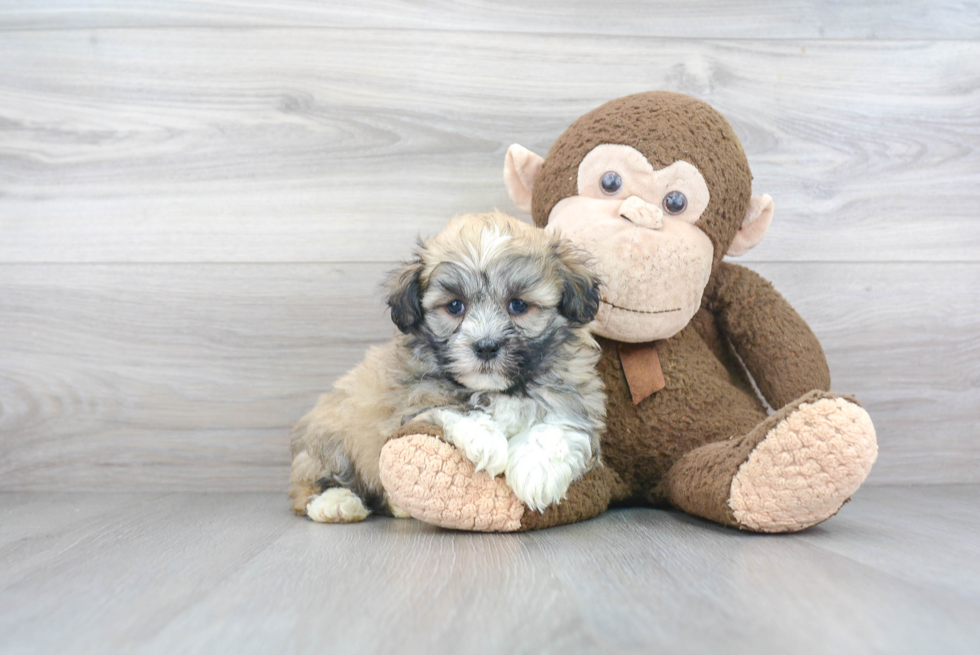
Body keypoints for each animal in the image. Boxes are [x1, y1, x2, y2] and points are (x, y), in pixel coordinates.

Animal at [290, 210, 604, 524]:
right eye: (455, 306)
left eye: (518, 305)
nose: (485, 346)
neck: (500, 390)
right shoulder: (412, 401)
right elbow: (449, 406)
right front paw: (487, 440)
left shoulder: (572, 399)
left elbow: (556, 427)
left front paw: (536, 472)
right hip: (334, 436)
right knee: (310, 484)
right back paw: (336, 503)